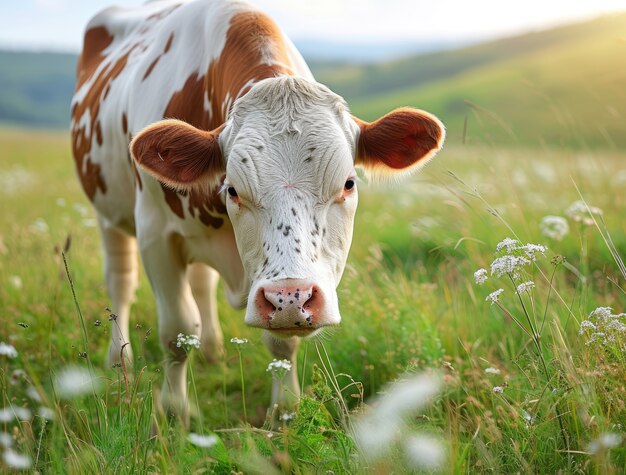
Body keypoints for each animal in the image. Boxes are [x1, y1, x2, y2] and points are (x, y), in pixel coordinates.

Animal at [70, 0, 442, 424]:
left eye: (349, 183)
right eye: (232, 188)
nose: (291, 298)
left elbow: (280, 344)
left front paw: (286, 410)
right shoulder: (155, 234)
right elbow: (177, 331)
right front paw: (176, 411)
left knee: (201, 283)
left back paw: (212, 350)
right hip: (109, 216)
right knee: (121, 283)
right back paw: (119, 358)